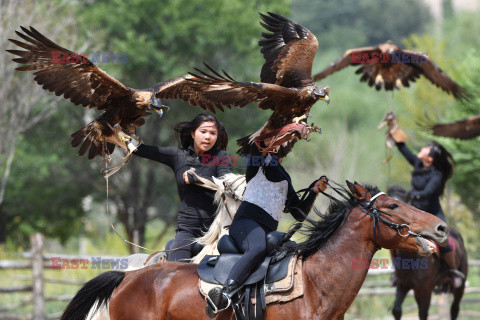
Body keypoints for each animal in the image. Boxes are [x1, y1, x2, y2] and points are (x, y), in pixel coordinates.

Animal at [386, 185, 468, 320]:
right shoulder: (403, 285)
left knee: (455, 308)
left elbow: (423, 313)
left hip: (460, 286)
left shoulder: (424, 291)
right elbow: (396, 310)